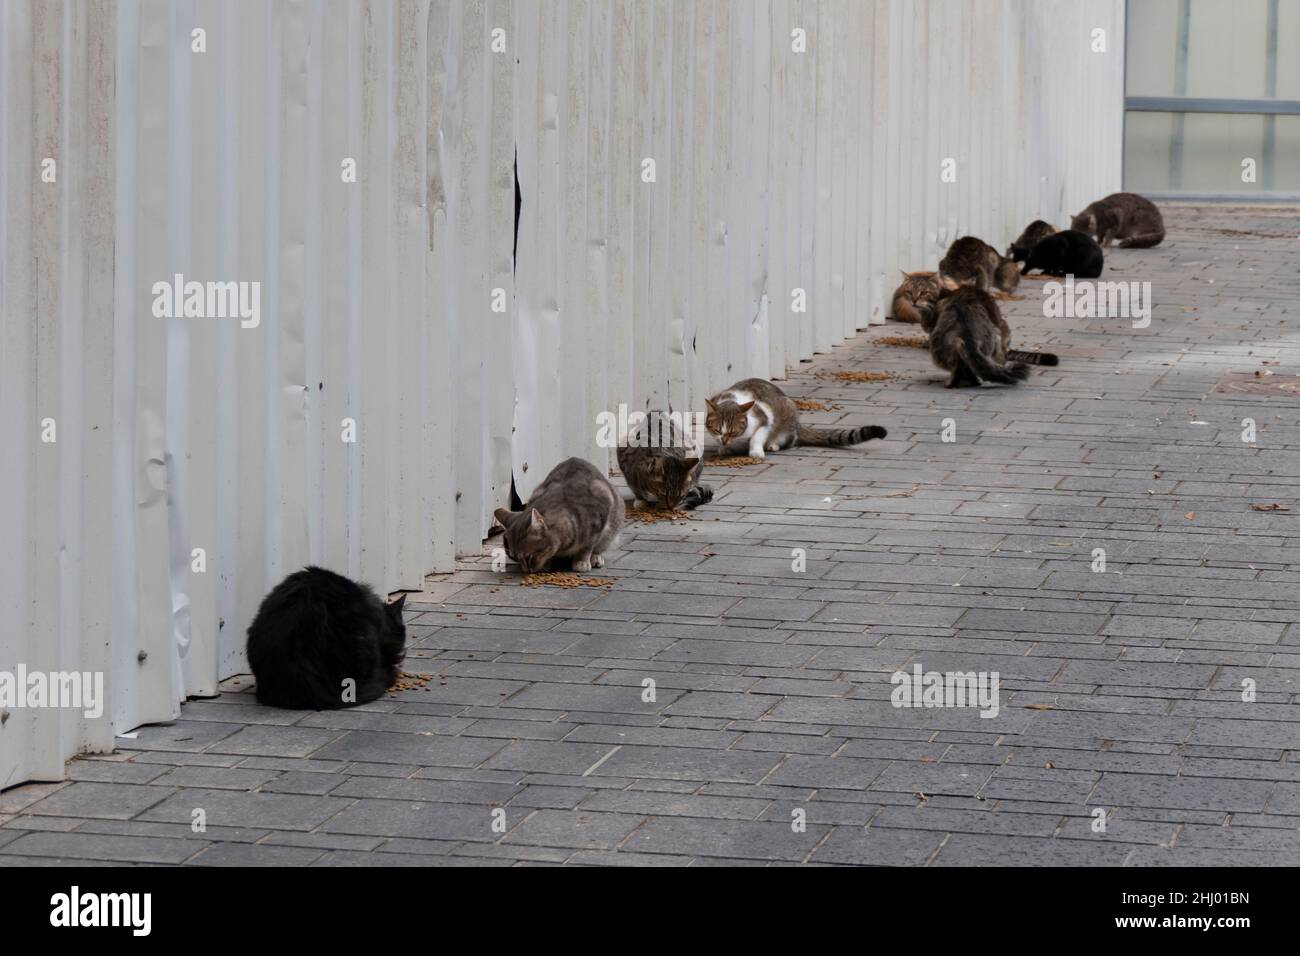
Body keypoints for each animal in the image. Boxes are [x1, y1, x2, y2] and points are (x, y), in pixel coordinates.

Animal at [707, 377, 889, 460]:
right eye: (717, 430)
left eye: (733, 432)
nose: (724, 440)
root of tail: (799, 425)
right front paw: (724, 448)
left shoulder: (764, 420)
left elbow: (757, 437)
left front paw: (756, 452)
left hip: (788, 413)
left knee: (789, 440)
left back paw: (773, 444)